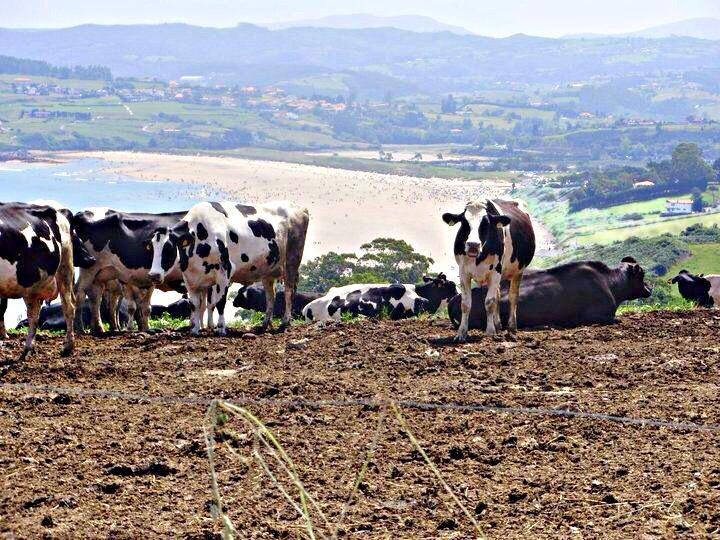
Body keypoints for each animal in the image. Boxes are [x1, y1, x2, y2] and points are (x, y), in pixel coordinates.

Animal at [0, 202, 76, 358]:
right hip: (34, 287)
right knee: (34, 314)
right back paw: (29, 348)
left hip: (65, 269)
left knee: (68, 307)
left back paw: (67, 347)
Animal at [149, 198, 310, 334]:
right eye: (151, 248)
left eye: (168, 249)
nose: (153, 275)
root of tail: (300, 208)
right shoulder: (190, 278)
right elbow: (195, 304)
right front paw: (195, 330)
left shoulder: (225, 272)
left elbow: (219, 303)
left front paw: (220, 328)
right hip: (268, 270)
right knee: (271, 296)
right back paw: (264, 325)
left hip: (292, 260)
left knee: (288, 291)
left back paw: (284, 322)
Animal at [438, 198, 536, 342]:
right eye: (464, 222)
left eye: (486, 223)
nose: (473, 245)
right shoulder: (463, 272)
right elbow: (465, 304)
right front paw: (461, 333)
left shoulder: (495, 272)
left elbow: (489, 302)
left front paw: (490, 332)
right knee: (498, 295)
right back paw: (498, 325)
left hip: (518, 271)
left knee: (513, 296)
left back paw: (511, 326)